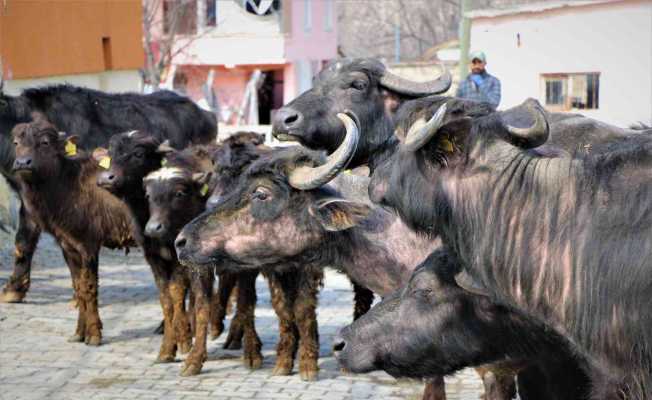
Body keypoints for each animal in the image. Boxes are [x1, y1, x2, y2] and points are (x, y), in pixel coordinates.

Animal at [0, 83, 219, 304]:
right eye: (17, 142)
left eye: (45, 142)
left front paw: (13, 289)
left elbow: (26, 240)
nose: (22, 163)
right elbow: (26, 241)